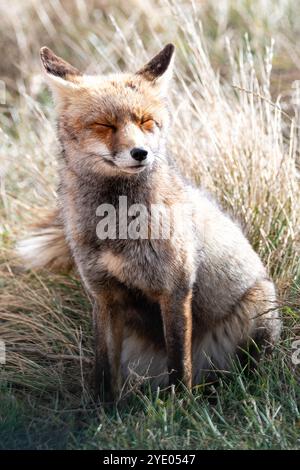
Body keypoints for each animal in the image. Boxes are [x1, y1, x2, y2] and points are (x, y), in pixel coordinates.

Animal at [17, 44, 282, 398]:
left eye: (145, 122)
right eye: (105, 125)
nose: (140, 153)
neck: (117, 227)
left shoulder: (175, 290)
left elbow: (179, 365)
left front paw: (182, 405)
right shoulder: (104, 295)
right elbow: (104, 371)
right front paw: (102, 408)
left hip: (257, 310)